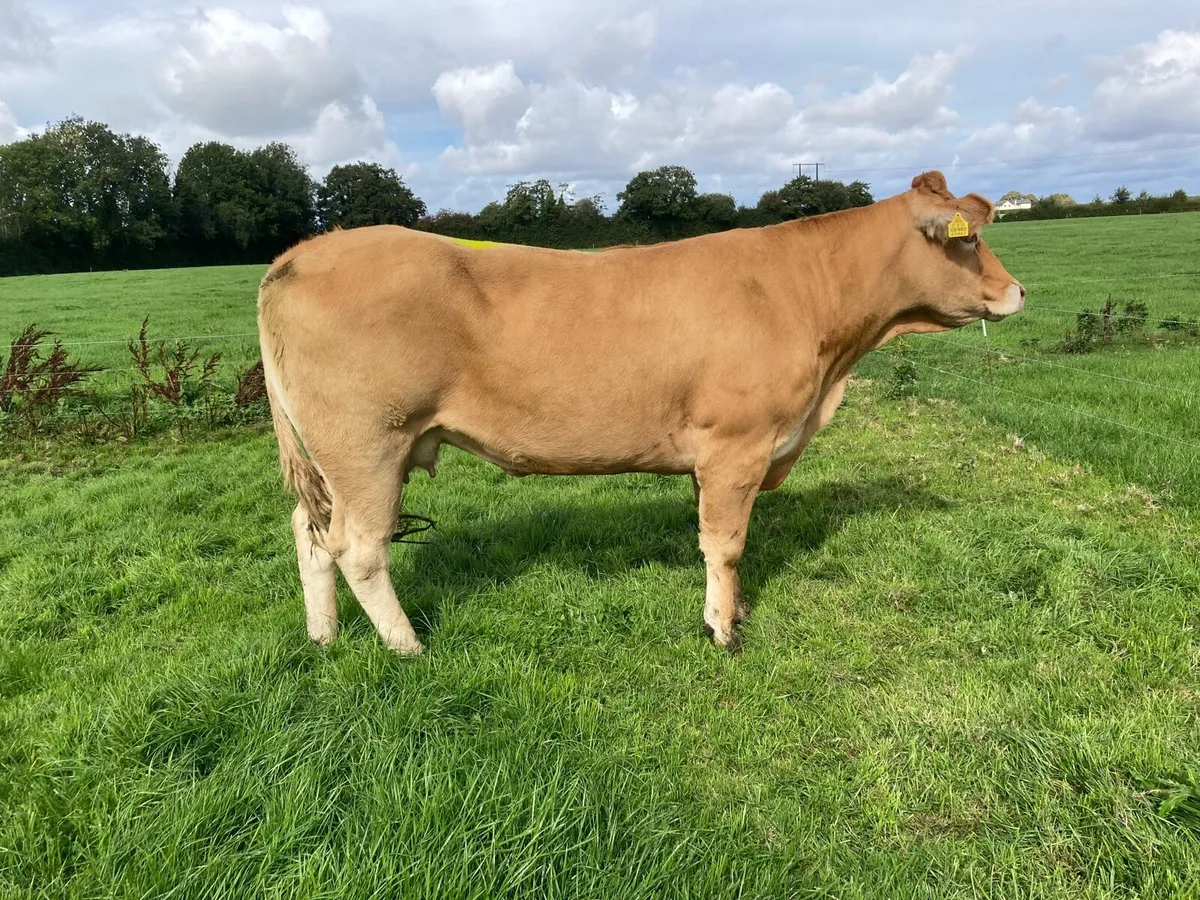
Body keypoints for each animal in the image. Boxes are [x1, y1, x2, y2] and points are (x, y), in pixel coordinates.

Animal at [257, 171, 1024, 655]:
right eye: (966, 238)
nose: (1018, 290)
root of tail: (305, 251)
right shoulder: (737, 444)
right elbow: (726, 543)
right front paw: (723, 631)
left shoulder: (718, 457)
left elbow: (720, 540)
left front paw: (734, 607)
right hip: (367, 445)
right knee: (358, 548)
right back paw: (407, 646)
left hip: (337, 456)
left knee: (309, 532)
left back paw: (323, 636)